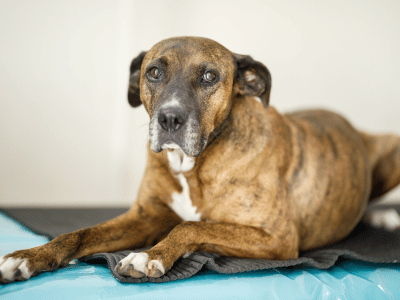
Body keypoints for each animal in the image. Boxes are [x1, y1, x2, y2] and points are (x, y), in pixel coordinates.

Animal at [0, 36, 400, 282]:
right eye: (153, 72)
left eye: (209, 76)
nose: (169, 119)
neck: (192, 166)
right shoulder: (144, 217)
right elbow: (78, 233)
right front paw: (29, 256)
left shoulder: (276, 238)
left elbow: (190, 227)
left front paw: (150, 256)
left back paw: (385, 216)